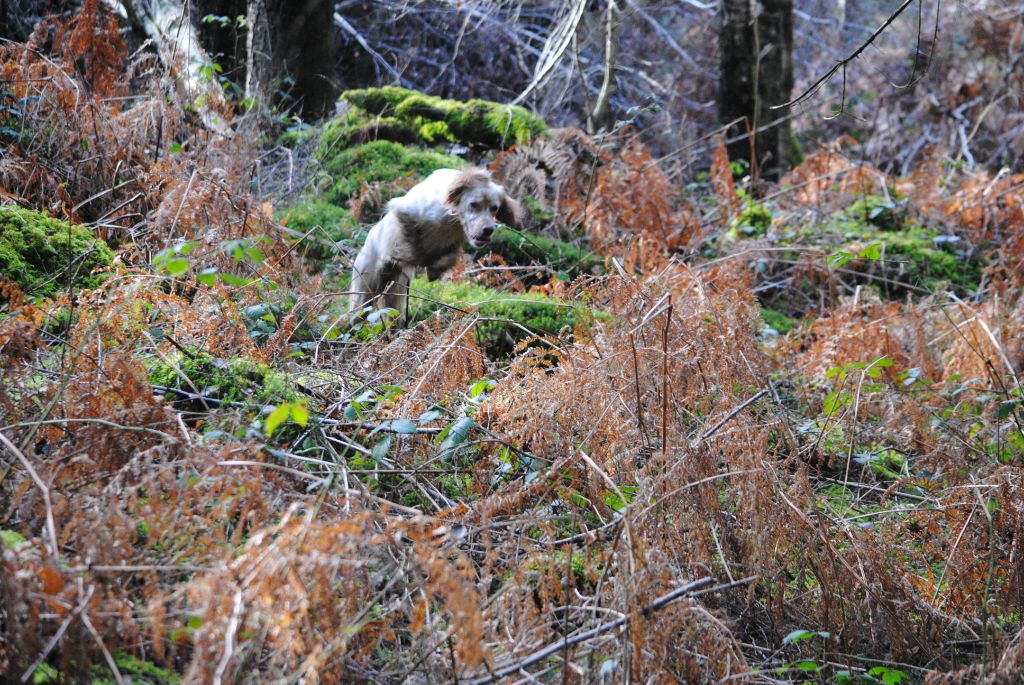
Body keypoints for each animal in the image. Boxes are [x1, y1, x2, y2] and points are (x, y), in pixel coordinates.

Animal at [350, 169, 520, 321]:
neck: (452, 217)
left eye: (494, 208)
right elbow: (415, 246)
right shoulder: (404, 211)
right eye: (473, 204)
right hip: (364, 292)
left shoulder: (455, 243)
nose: (488, 230)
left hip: (395, 295)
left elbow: (449, 258)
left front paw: (434, 270)